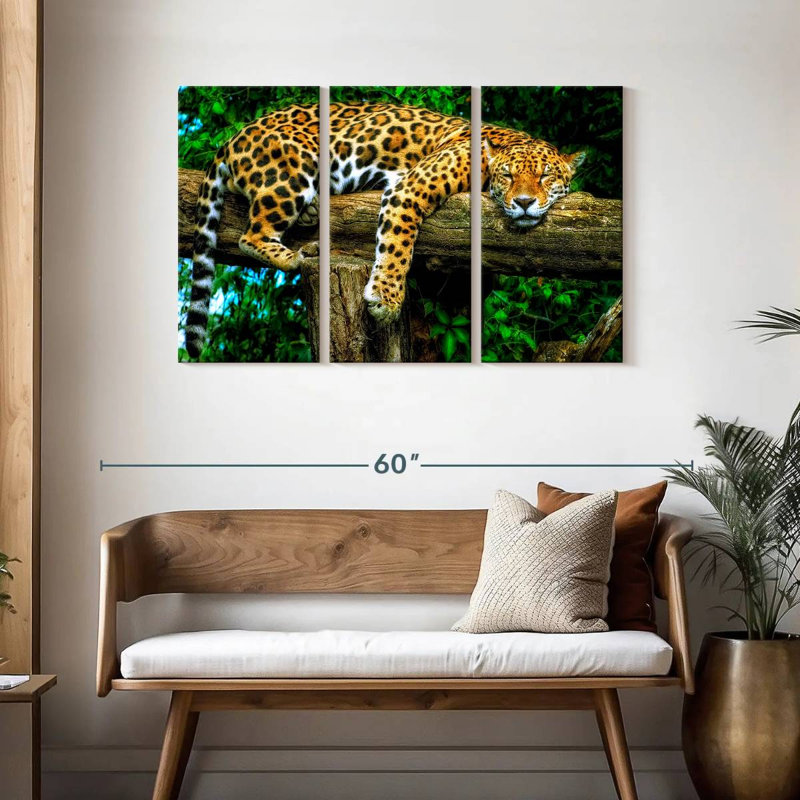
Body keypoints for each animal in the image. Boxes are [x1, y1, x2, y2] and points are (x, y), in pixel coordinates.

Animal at [184, 102, 585, 358]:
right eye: (509, 176)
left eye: (546, 176)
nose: (524, 202)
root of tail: (232, 138)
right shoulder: (410, 187)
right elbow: (397, 246)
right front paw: (386, 299)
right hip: (290, 171)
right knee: (250, 236)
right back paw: (297, 256)